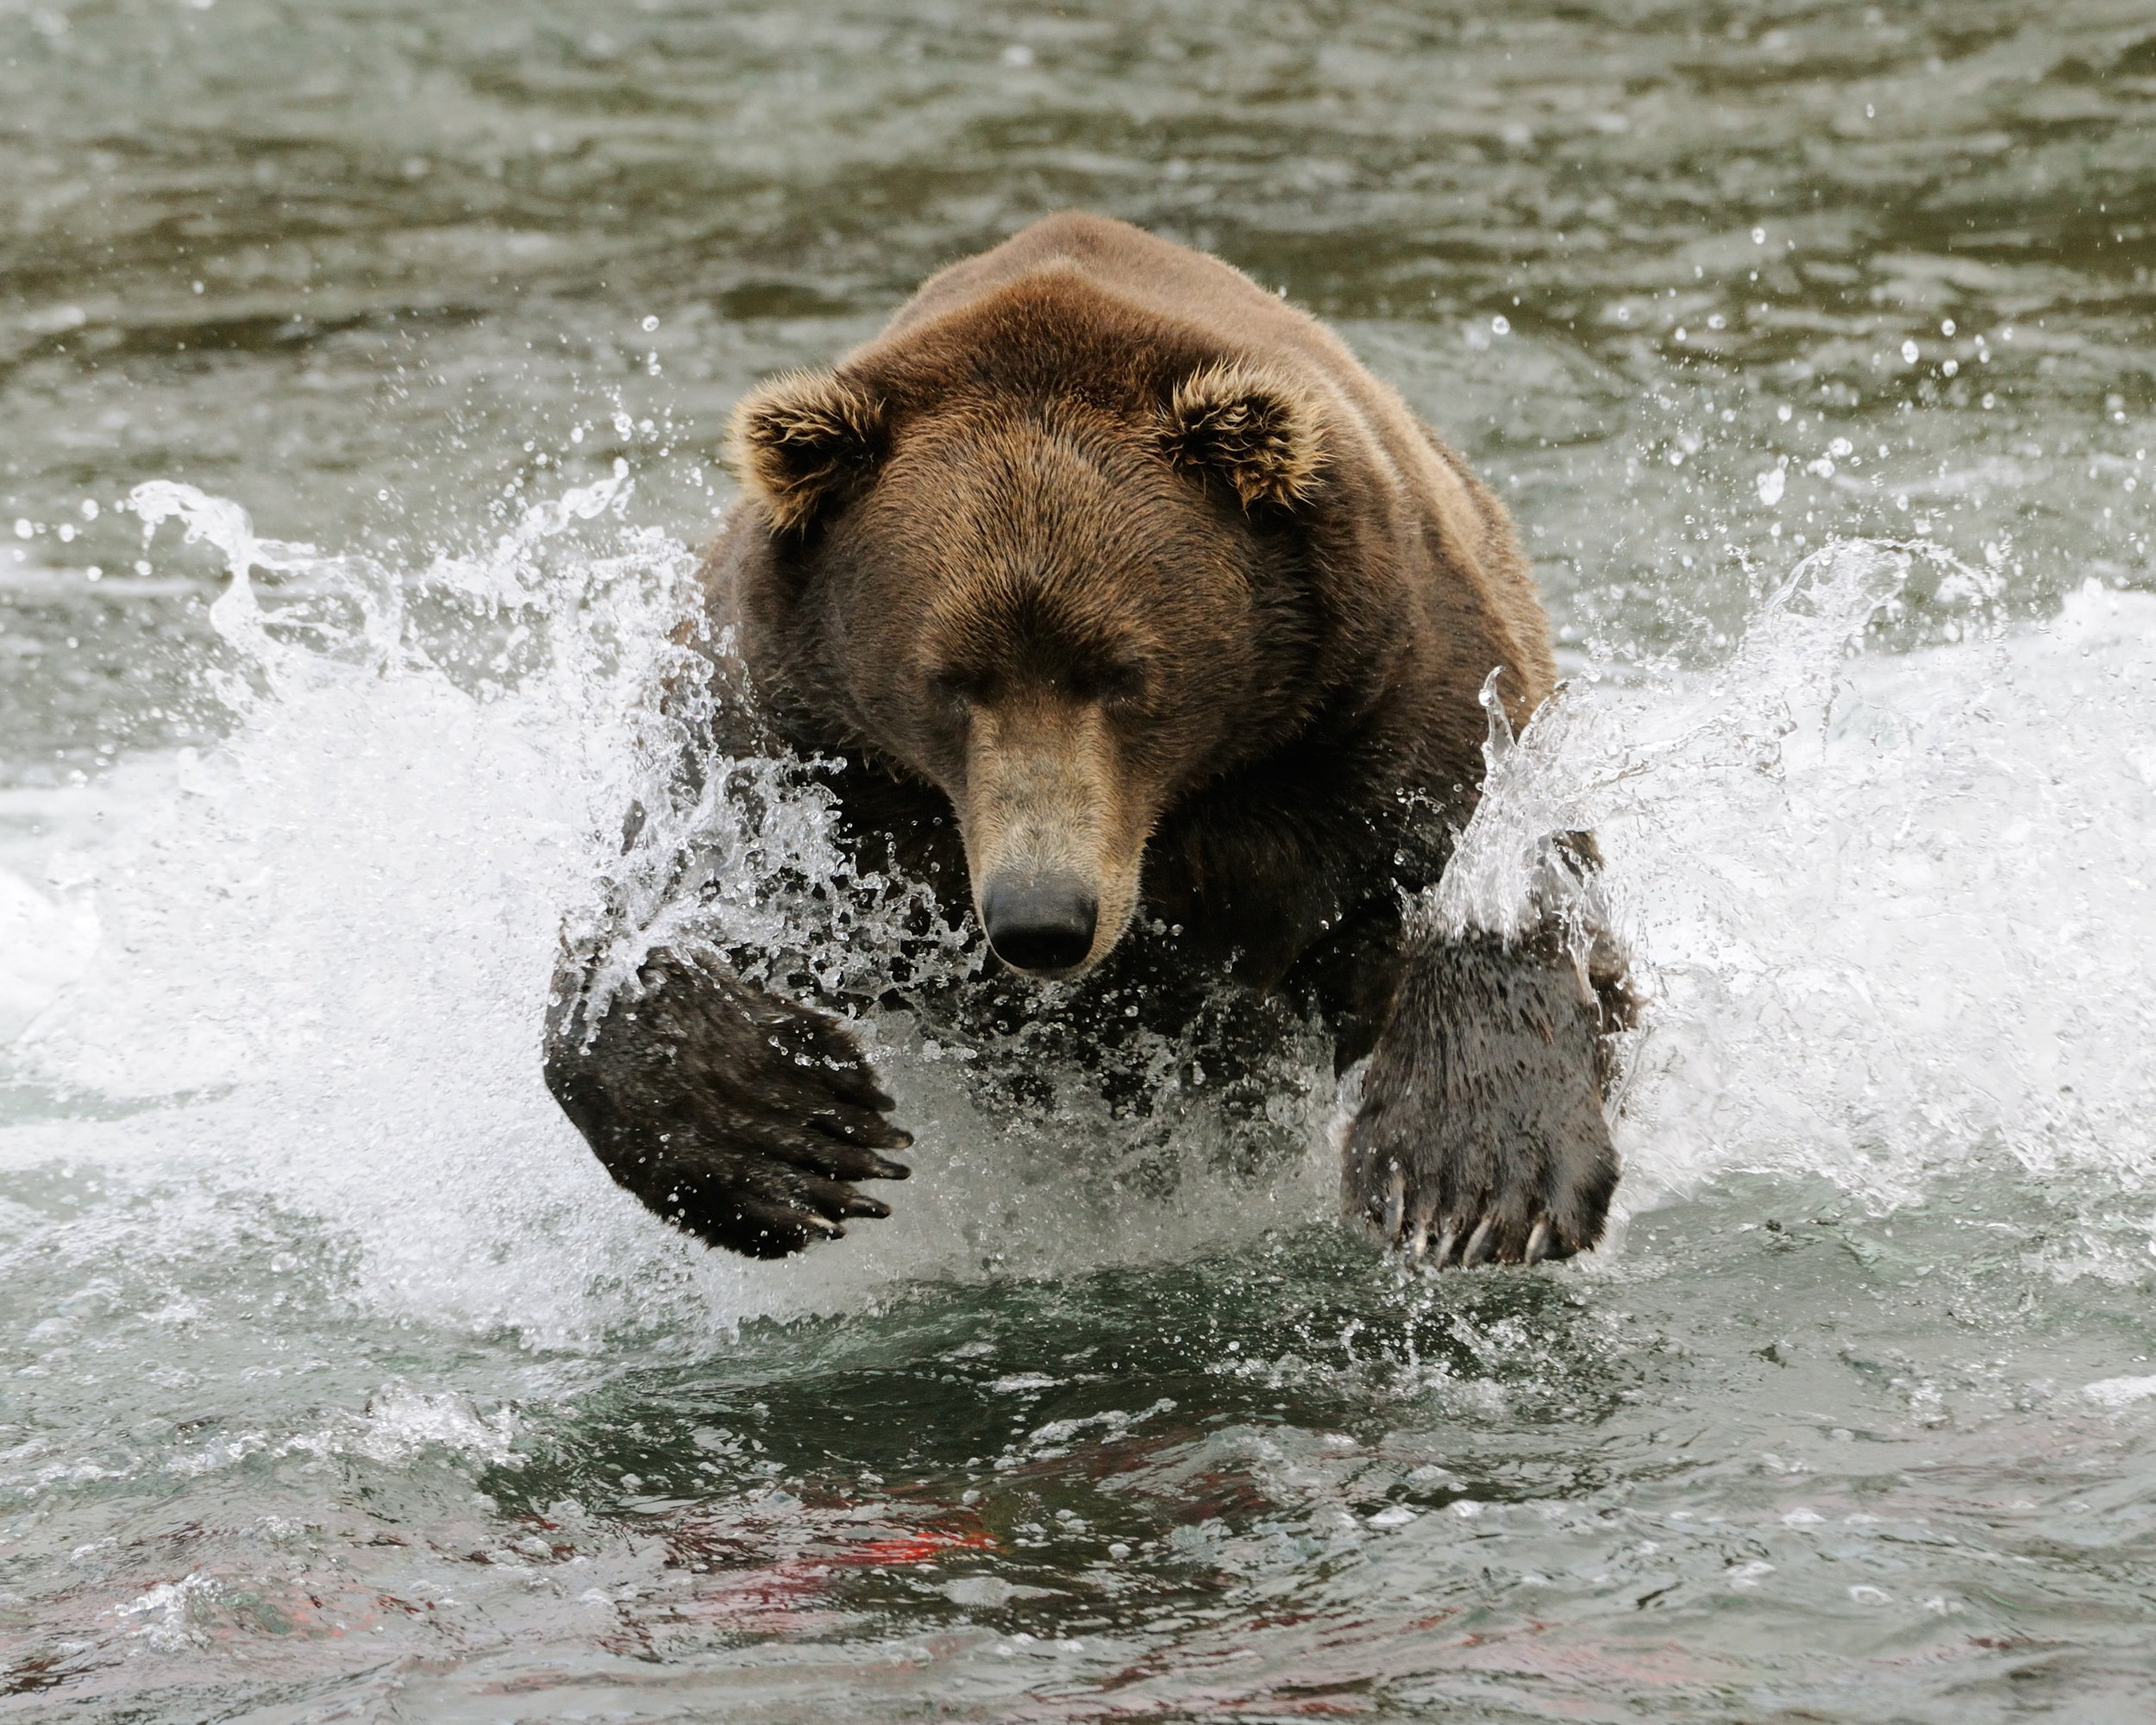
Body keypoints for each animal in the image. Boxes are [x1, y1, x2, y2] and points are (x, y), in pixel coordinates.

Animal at [543, 212, 1630, 1268]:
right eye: (951, 679)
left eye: (1120, 671)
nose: (1042, 916)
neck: (1180, 807)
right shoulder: (800, 752)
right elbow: (661, 901)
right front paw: (793, 1128)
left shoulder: (1380, 707)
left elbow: (1494, 880)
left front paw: (1471, 1182)